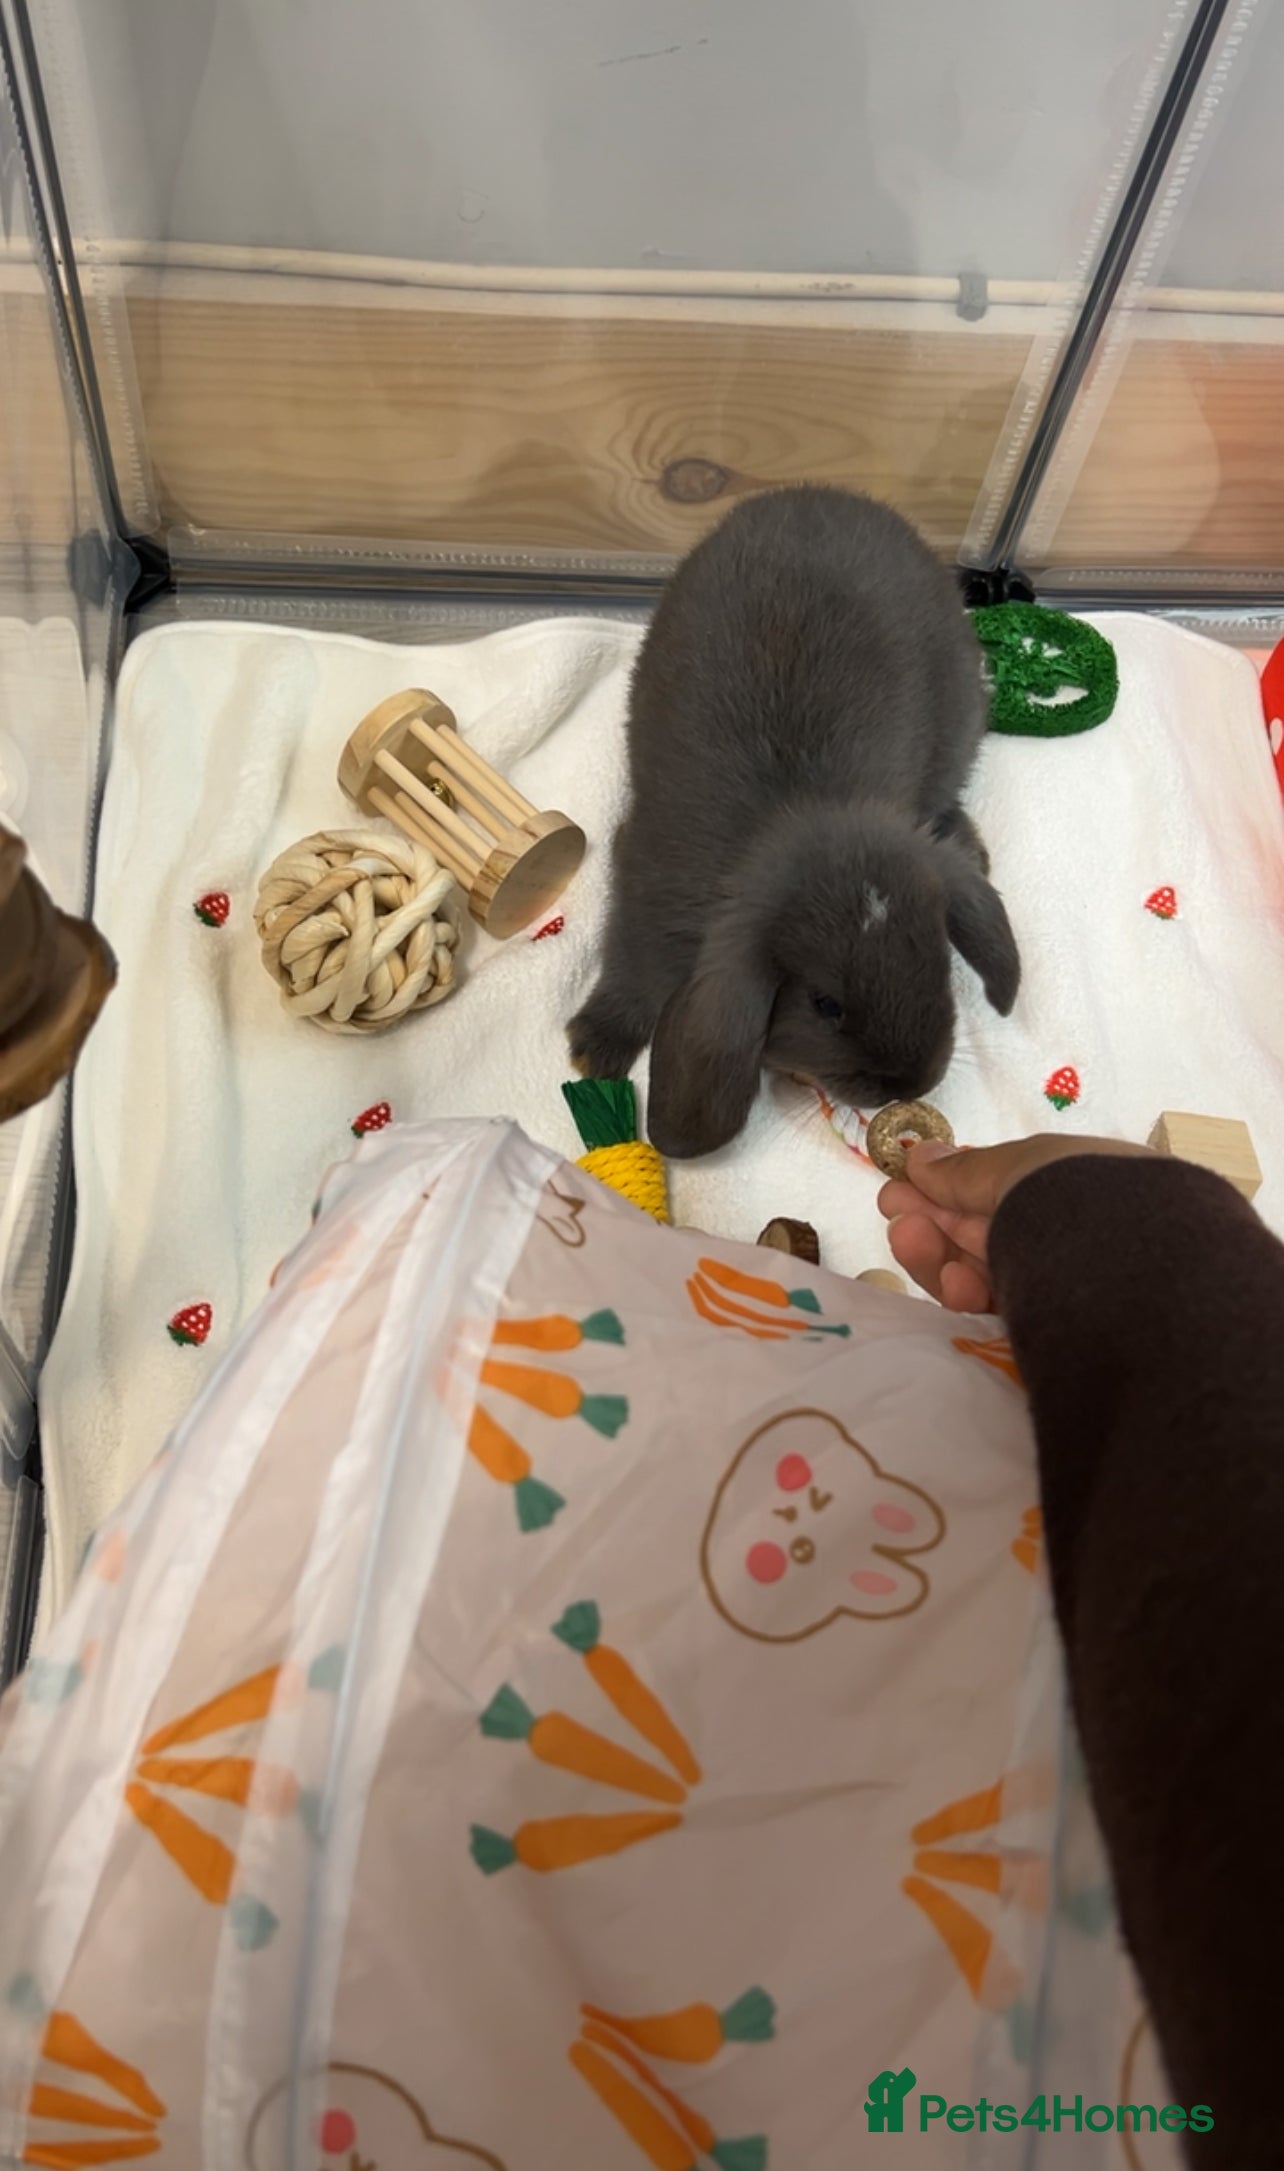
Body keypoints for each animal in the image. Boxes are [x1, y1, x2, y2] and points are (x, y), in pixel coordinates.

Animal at [568, 484, 1020, 1160]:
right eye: (825, 1003)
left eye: (940, 963)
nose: (908, 1083)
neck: (803, 816)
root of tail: (817, 492)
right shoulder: (641, 882)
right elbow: (633, 965)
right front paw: (595, 1048)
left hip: (958, 725)